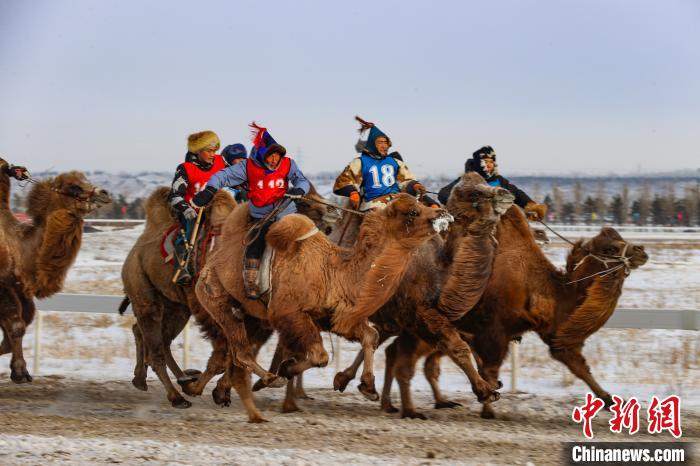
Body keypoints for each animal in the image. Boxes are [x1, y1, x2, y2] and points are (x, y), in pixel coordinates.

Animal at [0, 160, 110, 382]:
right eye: (74, 187)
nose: (105, 193)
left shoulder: (19, 289)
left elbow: (15, 331)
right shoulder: (3, 286)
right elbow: (16, 326)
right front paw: (20, 373)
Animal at [119, 186, 340, 408]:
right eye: (304, 202)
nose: (334, 214)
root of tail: (136, 249)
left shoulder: (253, 315)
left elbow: (239, 352)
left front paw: (221, 391)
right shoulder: (215, 307)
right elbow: (225, 355)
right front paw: (214, 390)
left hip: (176, 307)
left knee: (153, 336)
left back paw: (158, 379)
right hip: (145, 292)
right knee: (155, 343)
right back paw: (177, 395)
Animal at [194, 195, 452, 420]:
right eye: (413, 212)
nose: (443, 213)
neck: (334, 274)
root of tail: (212, 260)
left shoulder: (334, 316)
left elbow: (370, 335)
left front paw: (366, 386)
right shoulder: (289, 314)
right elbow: (321, 355)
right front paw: (286, 370)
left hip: (250, 315)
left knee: (233, 350)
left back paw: (217, 391)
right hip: (215, 296)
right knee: (240, 350)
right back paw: (266, 379)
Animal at [380, 208, 648, 418]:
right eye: (610, 248)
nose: (641, 251)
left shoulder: (550, 332)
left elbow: (578, 365)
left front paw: (610, 400)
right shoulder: (493, 331)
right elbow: (490, 369)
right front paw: (488, 408)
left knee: (399, 356)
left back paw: (397, 404)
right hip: (418, 323)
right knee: (404, 361)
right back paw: (407, 409)